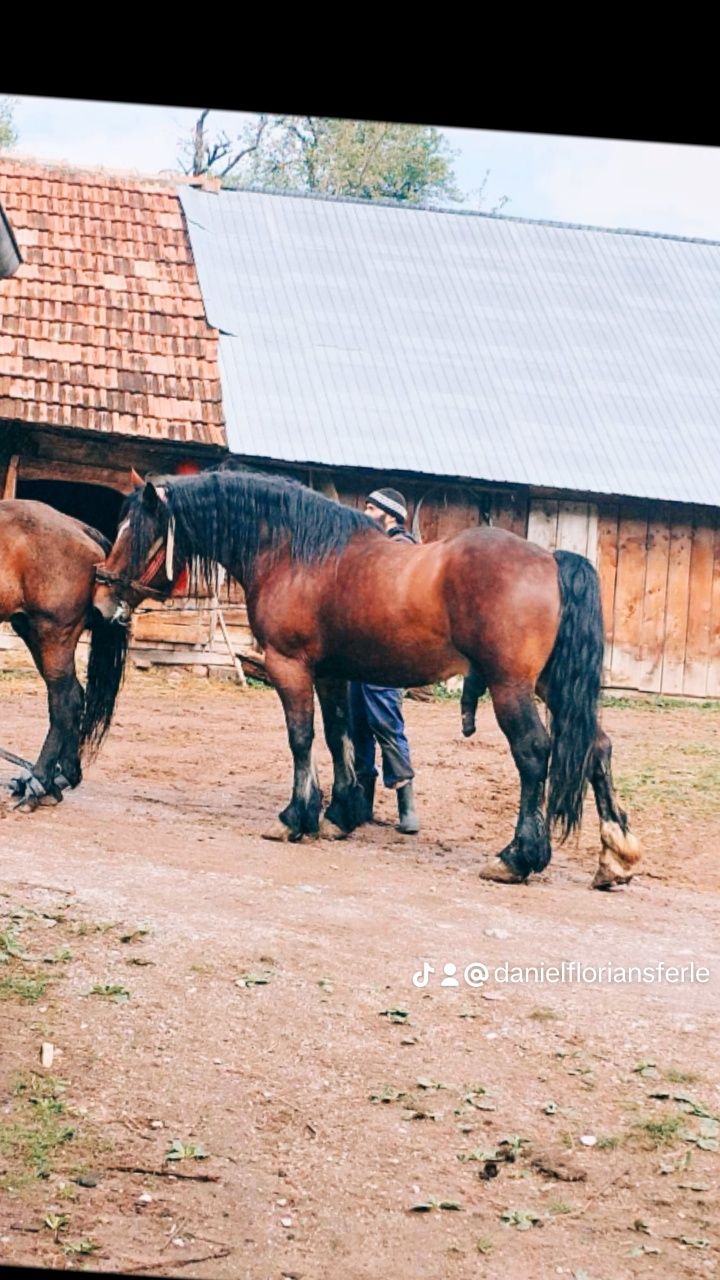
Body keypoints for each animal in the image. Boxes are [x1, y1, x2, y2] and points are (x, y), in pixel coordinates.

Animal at [0, 499, 128, 808]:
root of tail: (78, 528)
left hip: (53, 634)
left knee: (65, 701)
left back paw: (39, 783)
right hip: (33, 631)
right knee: (72, 696)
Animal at [94, 471, 638, 890]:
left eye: (135, 532)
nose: (101, 601)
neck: (295, 552)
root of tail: (552, 559)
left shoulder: (289, 666)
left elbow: (301, 738)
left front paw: (295, 817)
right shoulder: (332, 673)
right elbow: (340, 739)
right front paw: (339, 814)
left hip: (511, 688)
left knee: (533, 754)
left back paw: (517, 857)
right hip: (552, 687)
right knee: (597, 747)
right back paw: (615, 857)